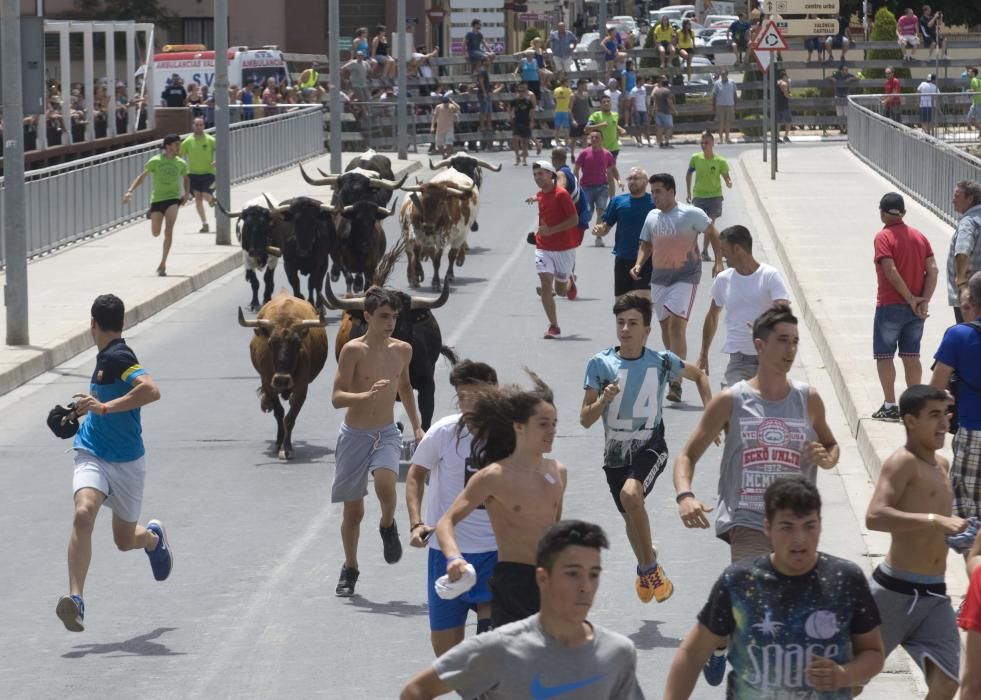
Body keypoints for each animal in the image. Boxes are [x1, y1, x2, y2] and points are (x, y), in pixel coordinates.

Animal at [237, 290, 330, 460]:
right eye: (270, 343)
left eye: (297, 343)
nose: (282, 380)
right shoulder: (268, 383)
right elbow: (279, 413)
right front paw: (278, 443)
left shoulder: (302, 388)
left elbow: (290, 417)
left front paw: (286, 448)